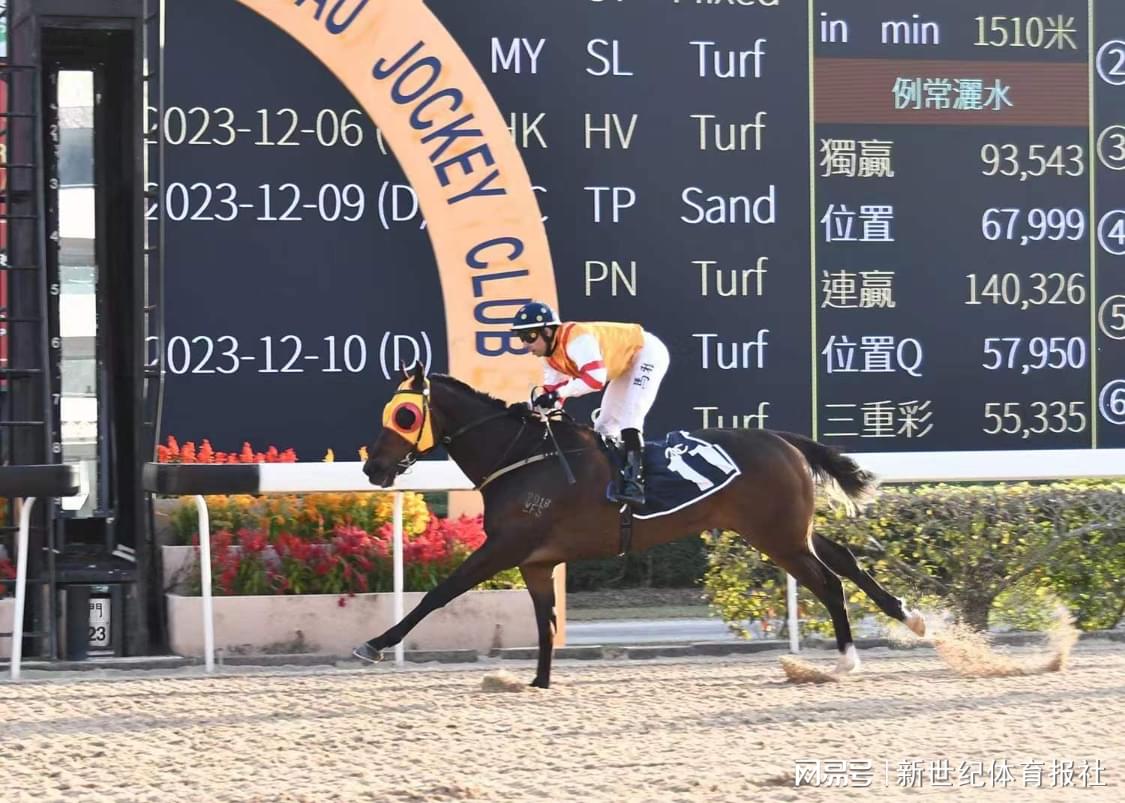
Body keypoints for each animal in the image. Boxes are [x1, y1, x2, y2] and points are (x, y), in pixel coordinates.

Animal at [357, 362, 922, 683]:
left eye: (405, 415)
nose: (373, 467)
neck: (522, 457)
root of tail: (784, 438)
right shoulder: (536, 563)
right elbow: (545, 624)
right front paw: (538, 683)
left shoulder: (505, 547)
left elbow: (438, 594)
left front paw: (374, 644)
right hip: (784, 531)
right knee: (843, 559)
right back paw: (911, 617)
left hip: (779, 538)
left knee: (828, 583)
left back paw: (847, 659)